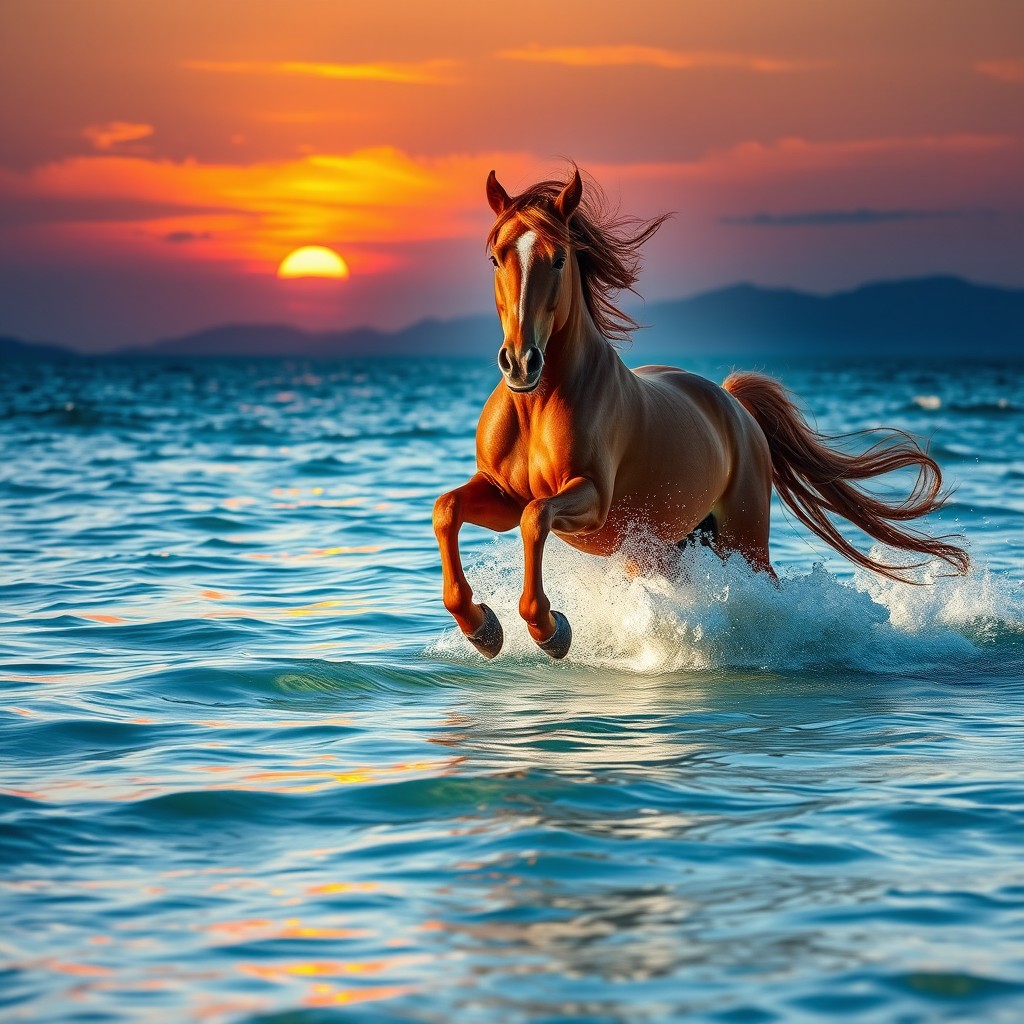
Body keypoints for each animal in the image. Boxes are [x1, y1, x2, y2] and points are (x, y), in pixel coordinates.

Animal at [433, 167, 969, 660]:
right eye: (495, 258)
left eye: (559, 258)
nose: (521, 362)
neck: (537, 406)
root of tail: (732, 403)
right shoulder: (501, 494)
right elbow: (449, 510)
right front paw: (483, 627)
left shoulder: (590, 499)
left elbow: (535, 518)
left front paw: (550, 629)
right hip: (668, 549)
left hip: (743, 540)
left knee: (768, 589)